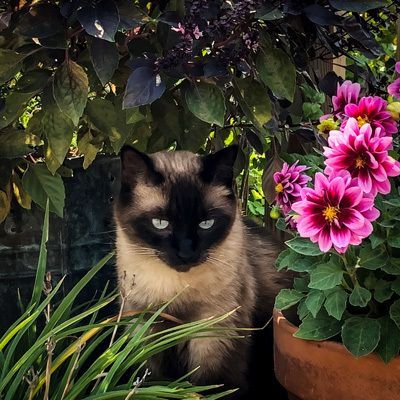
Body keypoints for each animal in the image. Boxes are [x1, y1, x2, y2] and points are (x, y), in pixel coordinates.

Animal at [114, 145, 292, 398]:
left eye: (206, 224)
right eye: (160, 223)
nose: (186, 252)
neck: (176, 292)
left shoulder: (214, 333)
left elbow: (212, 385)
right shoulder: (148, 330)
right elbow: (153, 381)